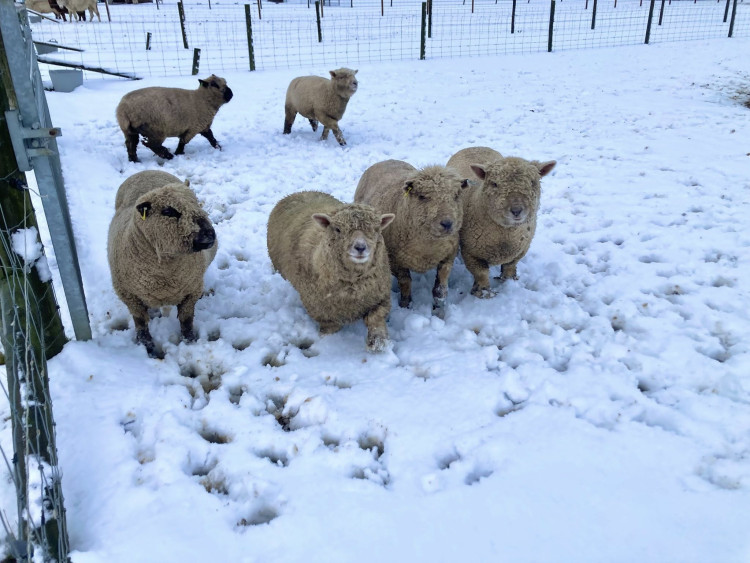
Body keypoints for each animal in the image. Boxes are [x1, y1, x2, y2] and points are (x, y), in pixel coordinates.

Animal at [108, 170, 217, 358]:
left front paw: (190, 342)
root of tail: (147, 171)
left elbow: (186, 320)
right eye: (168, 211)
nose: (210, 234)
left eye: (196, 203)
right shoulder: (130, 296)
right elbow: (141, 324)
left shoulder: (191, 290)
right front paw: (147, 348)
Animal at [267, 191, 395, 352]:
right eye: (338, 229)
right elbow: (331, 328)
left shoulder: (381, 298)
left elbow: (375, 318)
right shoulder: (322, 312)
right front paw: (328, 343)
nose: (360, 247)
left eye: (376, 229)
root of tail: (300, 192)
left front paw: (378, 341)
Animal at [354, 160, 468, 318]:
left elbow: (440, 289)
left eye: (456, 195)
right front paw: (405, 305)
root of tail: (386, 160)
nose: (447, 224)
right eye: (422, 196)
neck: (427, 250)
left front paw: (438, 311)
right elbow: (405, 282)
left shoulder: (448, 257)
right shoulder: (395, 261)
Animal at [446, 146, 556, 298]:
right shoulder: (470, 252)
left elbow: (509, 266)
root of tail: (475, 146)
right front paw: (484, 292)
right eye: (494, 184)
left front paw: (509, 281)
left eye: (533, 182)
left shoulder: (521, 249)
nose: (516, 210)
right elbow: (481, 273)